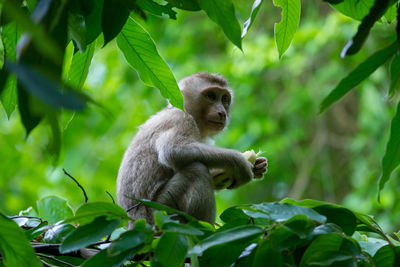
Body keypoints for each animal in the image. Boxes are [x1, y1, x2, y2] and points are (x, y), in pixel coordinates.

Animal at [117, 72, 268, 227]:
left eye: (224, 98)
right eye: (211, 96)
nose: (222, 112)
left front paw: (258, 167)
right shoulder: (181, 119)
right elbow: (173, 150)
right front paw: (240, 163)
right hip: (161, 211)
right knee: (196, 170)